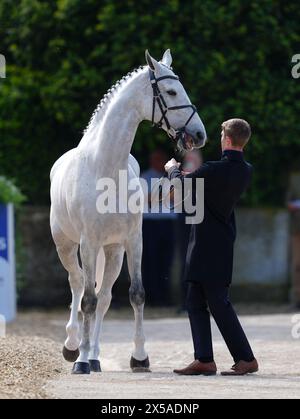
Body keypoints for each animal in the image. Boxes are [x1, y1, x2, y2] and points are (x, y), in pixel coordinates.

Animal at [50, 49, 207, 374]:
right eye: (171, 92)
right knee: (77, 286)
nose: (199, 134)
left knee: (104, 296)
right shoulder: (88, 243)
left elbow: (136, 294)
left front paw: (140, 357)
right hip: (67, 245)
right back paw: (74, 348)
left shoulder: (133, 240)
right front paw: (80, 361)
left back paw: (94, 356)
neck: (107, 168)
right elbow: (87, 300)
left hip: (112, 251)